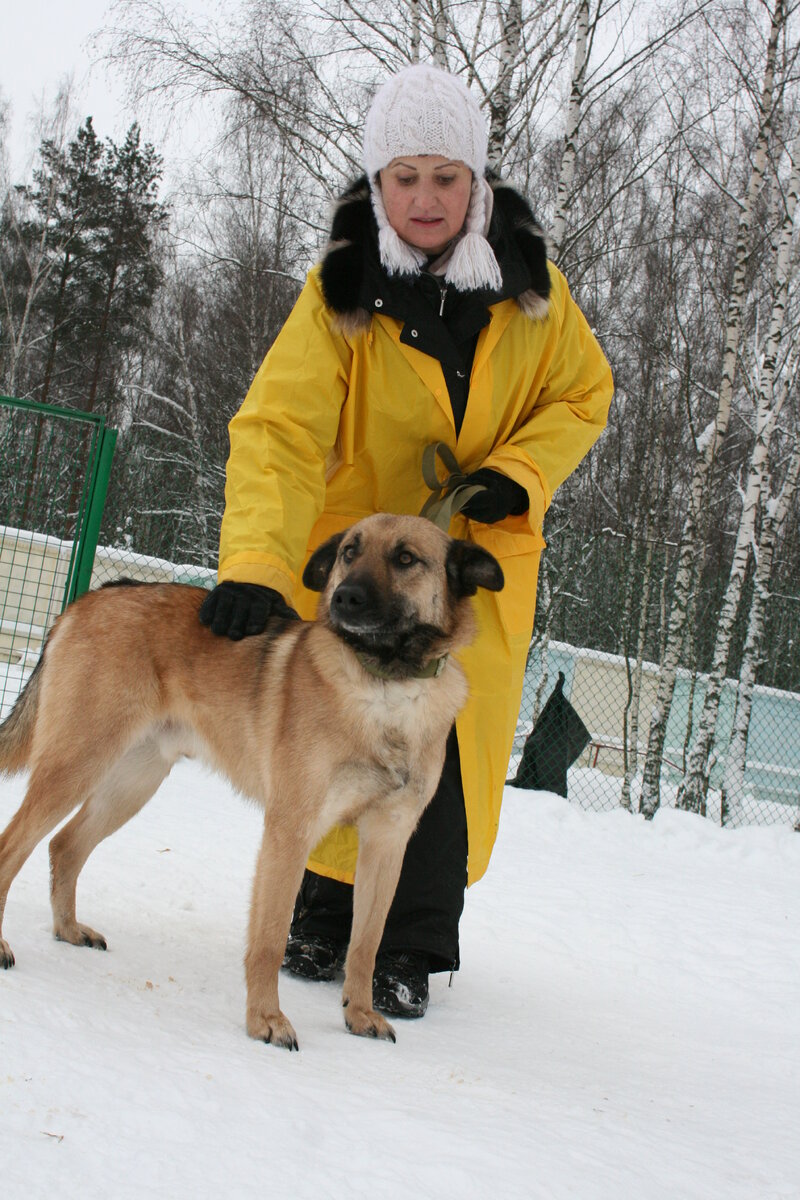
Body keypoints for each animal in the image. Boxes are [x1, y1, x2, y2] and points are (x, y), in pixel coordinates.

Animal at [0, 516, 501, 1051]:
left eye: (406, 558)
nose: (343, 597)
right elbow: (268, 939)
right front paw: (266, 1019)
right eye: (349, 551)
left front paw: (361, 1014)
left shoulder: (386, 842)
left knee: (65, 845)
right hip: (75, 765)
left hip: (130, 783)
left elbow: (365, 944)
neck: (386, 688)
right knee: (15, 845)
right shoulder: (289, 832)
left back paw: (68, 929)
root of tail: (94, 597)